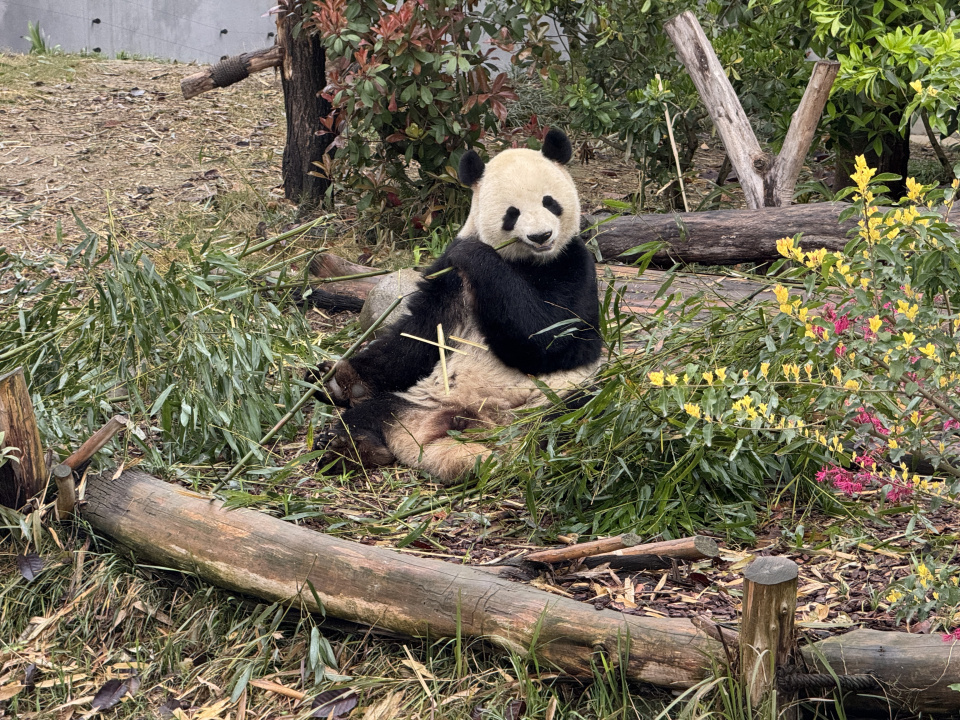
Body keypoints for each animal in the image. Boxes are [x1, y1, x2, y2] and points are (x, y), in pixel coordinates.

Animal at [317, 129, 602, 482]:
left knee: (574, 415)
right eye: (512, 213)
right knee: (372, 413)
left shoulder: (573, 266)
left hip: (552, 403)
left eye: (550, 202)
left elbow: (553, 339)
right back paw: (347, 445)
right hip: (421, 402)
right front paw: (339, 378)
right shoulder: (450, 279)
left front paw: (478, 256)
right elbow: (420, 335)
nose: (541, 236)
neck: (524, 262)